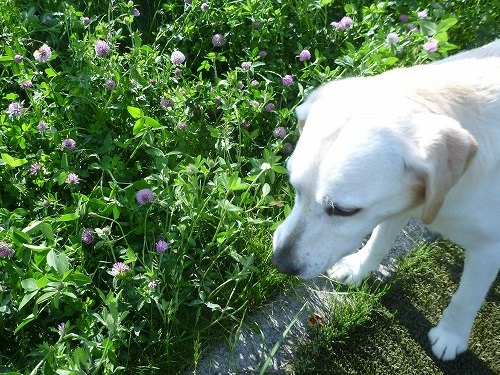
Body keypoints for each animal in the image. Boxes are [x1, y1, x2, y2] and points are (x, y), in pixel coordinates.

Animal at [272, 40, 500, 362]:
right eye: (295, 188)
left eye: (345, 211)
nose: (280, 263)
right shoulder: (401, 201)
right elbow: (379, 239)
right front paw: (358, 267)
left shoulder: (490, 248)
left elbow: (466, 297)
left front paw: (450, 335)